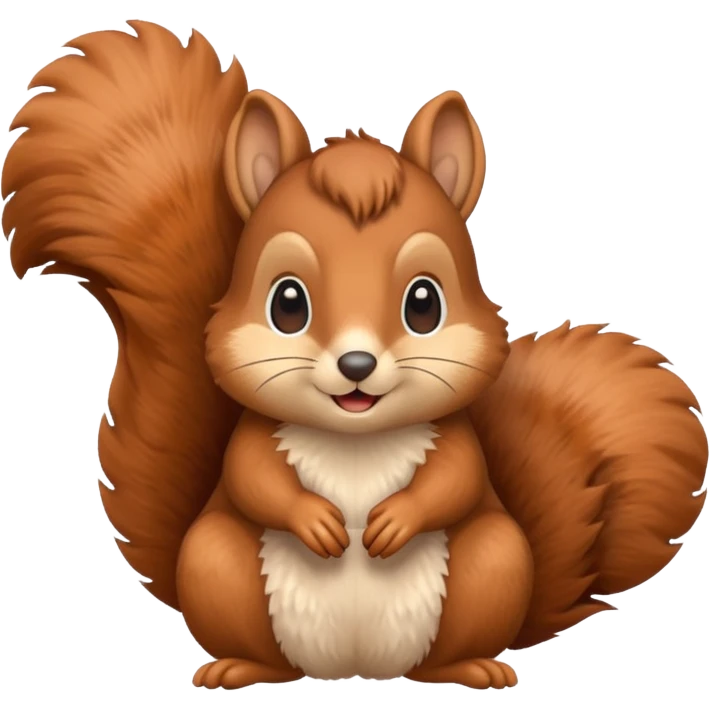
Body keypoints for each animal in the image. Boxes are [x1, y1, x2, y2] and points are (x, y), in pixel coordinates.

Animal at [2, 20, 708, 691]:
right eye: (287, 303)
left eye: (425, 303)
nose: (357, 367)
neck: (356, 440)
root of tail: (353, 668)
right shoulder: (254, 438)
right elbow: (251, 477)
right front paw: (316, 521)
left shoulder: (456, 439)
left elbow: (457, 479)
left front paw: (394, 520)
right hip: (215, 561)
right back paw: (238, 669)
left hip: (495, 561)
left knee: (453, 635)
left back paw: (472, 669)